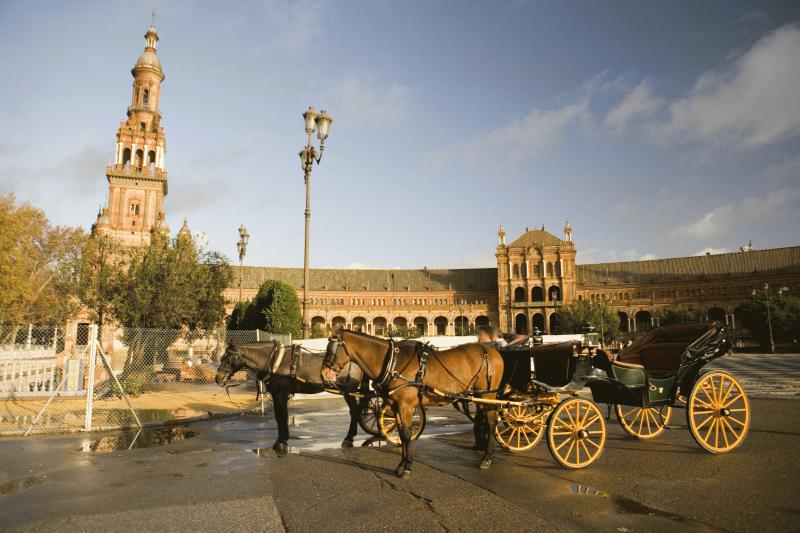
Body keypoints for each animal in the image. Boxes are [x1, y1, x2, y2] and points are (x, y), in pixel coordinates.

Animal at [214, 340, 366, 453]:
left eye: (227, 358)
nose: (218, 378)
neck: (275, 362)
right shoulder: (277, 395)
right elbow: (279, 417)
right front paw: (281, 440)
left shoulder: (281, 394)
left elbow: (282, 416)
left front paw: (281, 442)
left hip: (349, 391)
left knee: (354, 412)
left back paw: (349, 439)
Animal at [322, 330, 504, 479]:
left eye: (333, 347)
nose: (323, 372)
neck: (392, 362)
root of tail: (491, 351)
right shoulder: (395, 406)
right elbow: (402, 434)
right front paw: (401, 465)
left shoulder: (406, 406)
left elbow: (407, 434)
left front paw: (407, 467)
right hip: (478, 397)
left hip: (489, 395)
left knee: (491, 422)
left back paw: (487, 457)